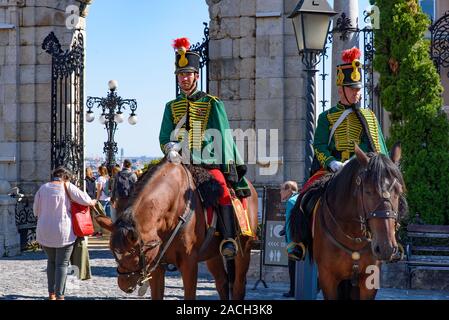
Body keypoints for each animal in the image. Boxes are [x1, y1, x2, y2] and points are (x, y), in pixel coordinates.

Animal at [96, 160, 258, 300]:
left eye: (133, 254)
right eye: (114, 253)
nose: (124, 284)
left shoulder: (189, 264)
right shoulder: (156, 266)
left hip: (243, 251)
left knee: (237, 287)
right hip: (213, 255)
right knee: (222, 282)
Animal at [288, 145, 404, 300]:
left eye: (399, 191)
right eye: (368, 191)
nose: (386, 247)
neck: (353, 235)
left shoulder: (369, 279)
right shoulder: (327, 277)